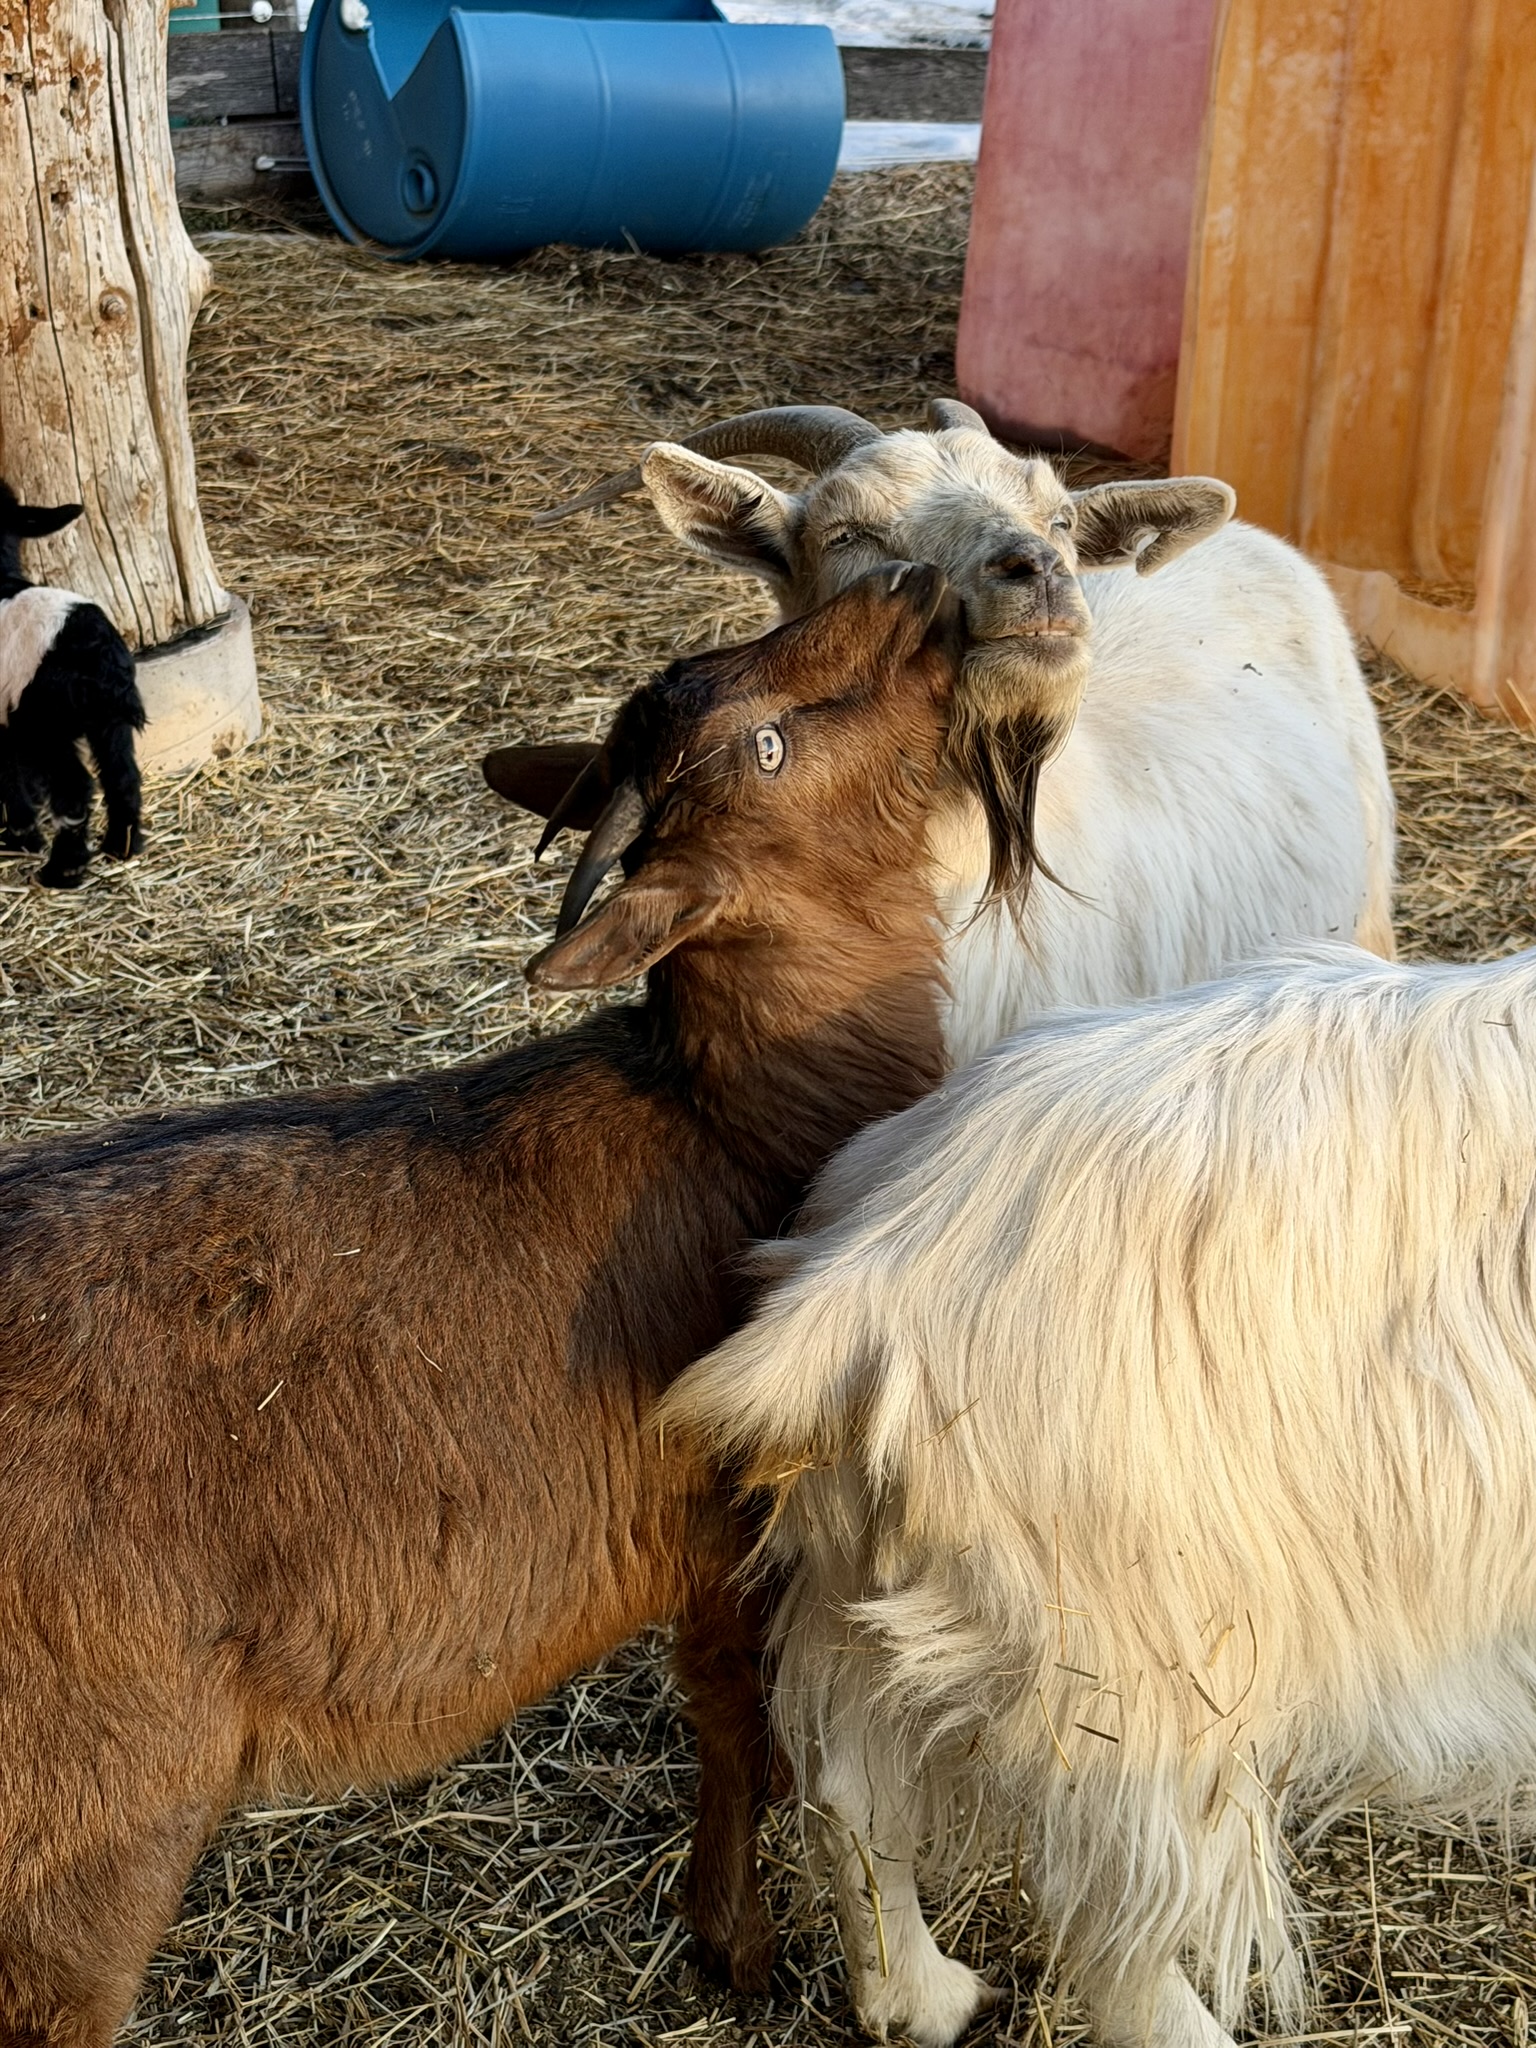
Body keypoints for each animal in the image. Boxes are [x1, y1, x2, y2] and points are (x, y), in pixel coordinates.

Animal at [0, 483, 145, 889]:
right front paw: (22, 837)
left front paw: (21, 838)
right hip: (109, 723)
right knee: (122, 777)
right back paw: (122, 845)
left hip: (46, 723)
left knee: (76, 790)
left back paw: (64, 868)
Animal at [0, 563, 957, 2048]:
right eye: (767, 743)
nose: (911, 587)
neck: (732, 1121)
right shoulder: (733, 1529)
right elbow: (740, 1728)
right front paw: (738, 1943)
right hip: (86, 1822)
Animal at [664, 940, 1536, 2048]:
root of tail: (869, 1269)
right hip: (1147, 1668)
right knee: (1115, 1934)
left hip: (866, 1578)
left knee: (853, 1796)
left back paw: (922, 1998)